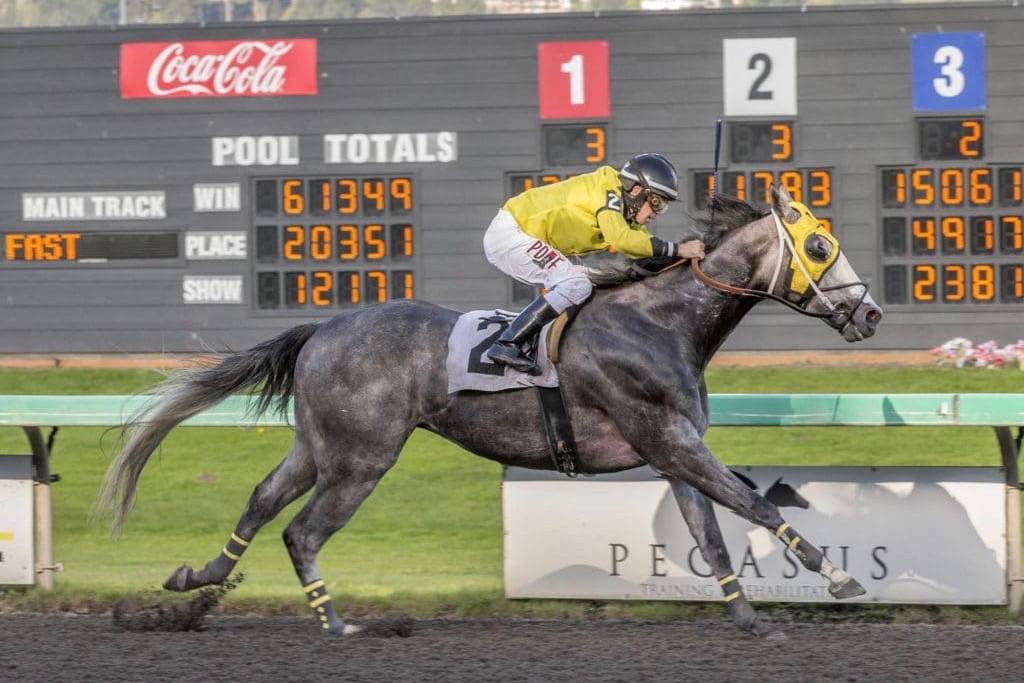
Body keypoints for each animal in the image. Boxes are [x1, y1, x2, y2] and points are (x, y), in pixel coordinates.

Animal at [97, 184, 880, 638]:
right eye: (818, 246)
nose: (870, 313)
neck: (659, 322)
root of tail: (322, 327)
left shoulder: (672, 450)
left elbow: (713, 535)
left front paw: (750, 619)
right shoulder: (670, 438)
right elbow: (755, 504)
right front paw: (839, 578)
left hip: (318, 446)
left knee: (262, 501)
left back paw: (198, 584)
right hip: (361, 459)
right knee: (303, 531)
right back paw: (337, 624)